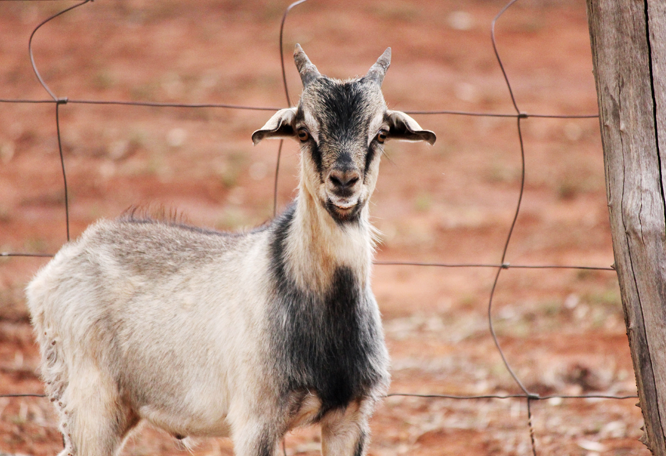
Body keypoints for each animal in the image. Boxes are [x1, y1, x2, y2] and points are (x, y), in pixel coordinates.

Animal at [27, 45, 436, 456]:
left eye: (381, 134)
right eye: (303, 132)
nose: (344, 181)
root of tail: (54, 272)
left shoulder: (349, 417)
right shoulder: (255, 420)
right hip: (90, 404)